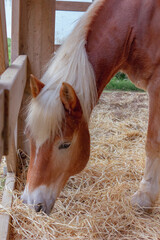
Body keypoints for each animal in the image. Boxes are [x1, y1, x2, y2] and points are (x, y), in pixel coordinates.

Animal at [21, 0, 160, 214]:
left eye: (65, 144)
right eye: (29, 136)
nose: (32, 203)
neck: (138, 21)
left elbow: (152, 142)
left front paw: (145, 197)